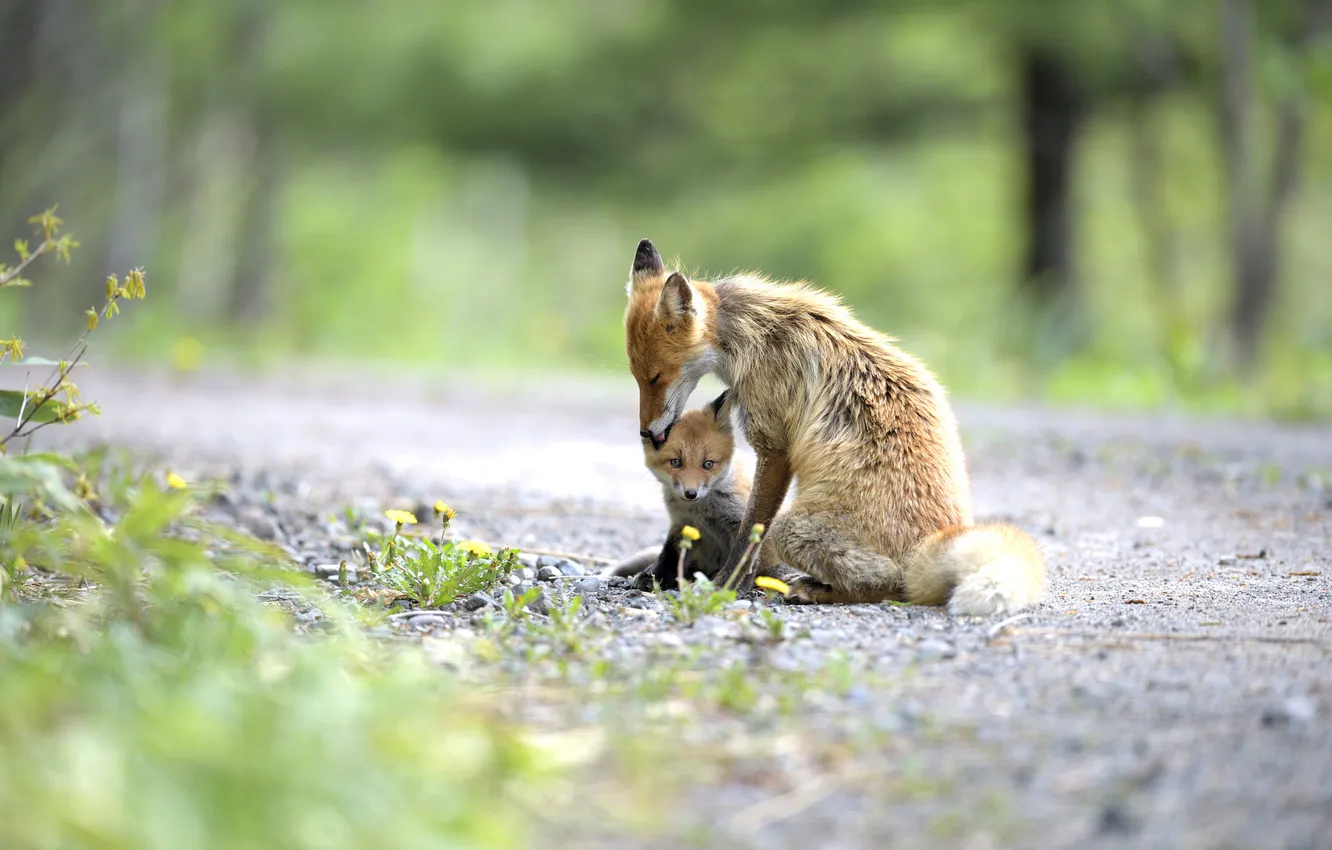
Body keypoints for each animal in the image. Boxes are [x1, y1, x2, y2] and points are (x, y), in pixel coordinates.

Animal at [607, 389, 782, 591]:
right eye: (676, 462)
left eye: (708, 464)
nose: (691, 494)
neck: (703, 511)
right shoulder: (682, 523)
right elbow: (669, 556)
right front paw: (654, 576)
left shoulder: (742, 521)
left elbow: (744, 557)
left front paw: (733, 586)